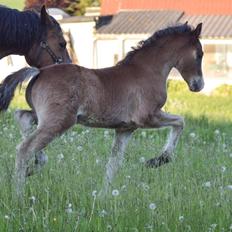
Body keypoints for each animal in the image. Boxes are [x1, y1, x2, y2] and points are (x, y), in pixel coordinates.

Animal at [0, 22, 203, 196]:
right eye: (200, 54)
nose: (199, 85)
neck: (146, 71)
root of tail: (39, 72)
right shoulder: (148, 117)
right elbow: (180, 122)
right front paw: (158, 160)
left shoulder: (125, 128)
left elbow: (114, 164)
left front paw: (103, 197)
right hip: (60, 121)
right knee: (24, 148)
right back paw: (19, 196)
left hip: (44, 117)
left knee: (22, 117)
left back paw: (36, 165)